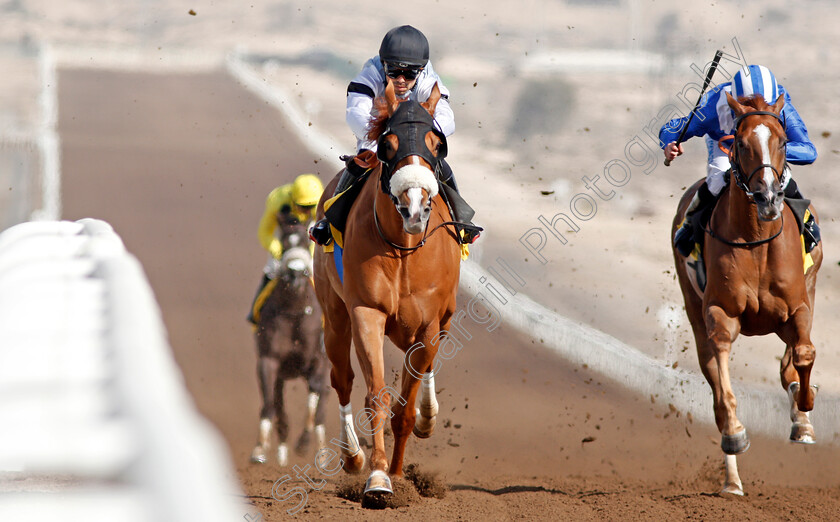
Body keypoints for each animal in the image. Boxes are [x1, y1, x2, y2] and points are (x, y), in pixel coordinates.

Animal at [314, 79, 460, 502]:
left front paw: (397, 471)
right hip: (334, 316)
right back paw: (352, 457)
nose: (414, 208)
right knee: (341, 379)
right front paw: (379, 477)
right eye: (388, 144)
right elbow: (376, 396)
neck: (404, 249)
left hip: (446, 315)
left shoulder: (428, 323)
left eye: (436, 144)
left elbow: (405, 410)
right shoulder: (367, 312)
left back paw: (428, 416)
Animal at [672, 91, 824, 494]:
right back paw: (732, 480)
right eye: (739, 143)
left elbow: (802, 355)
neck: (756, 239)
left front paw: (803, 416)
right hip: (693, 307)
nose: (768, 197)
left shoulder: (798, 307)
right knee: (713, 379)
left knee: (790, 361)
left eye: (783, 141)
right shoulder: (719, 312)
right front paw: (735, 435)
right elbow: (723, 383)